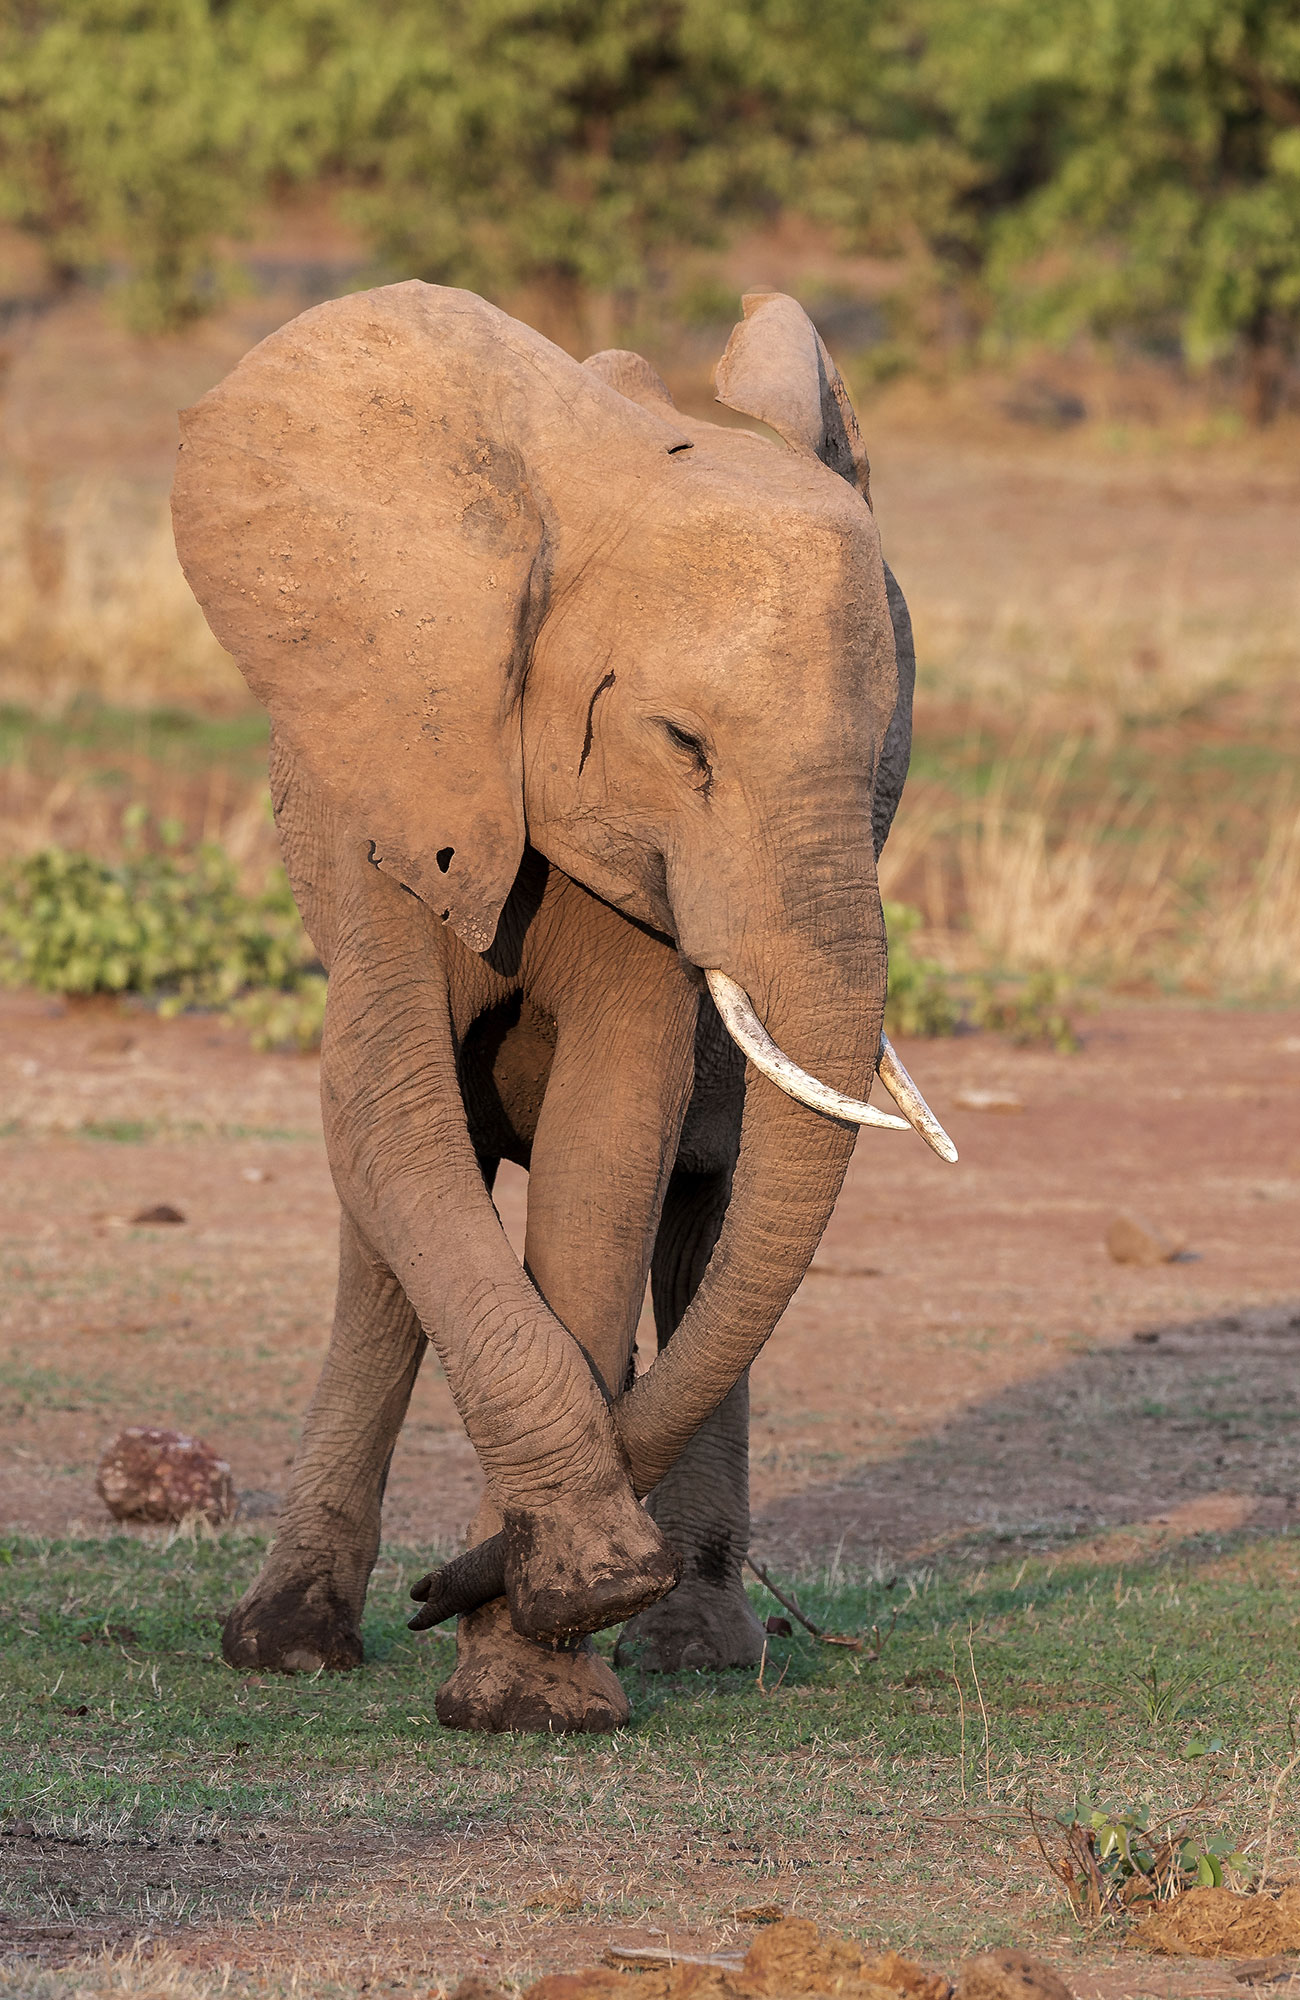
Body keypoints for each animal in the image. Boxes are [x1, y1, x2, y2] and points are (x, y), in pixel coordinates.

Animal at [171, 281, 955, 1735]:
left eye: (890, 759)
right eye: (683, 742)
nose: (437, 1590)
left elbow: (612, 1138)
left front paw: (542, 1672)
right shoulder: (393, 766)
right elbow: (388, 1110)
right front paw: (568, 1600)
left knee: (703, 1219)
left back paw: (697, 1645)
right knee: (385, 1226)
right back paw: (287, 1642)